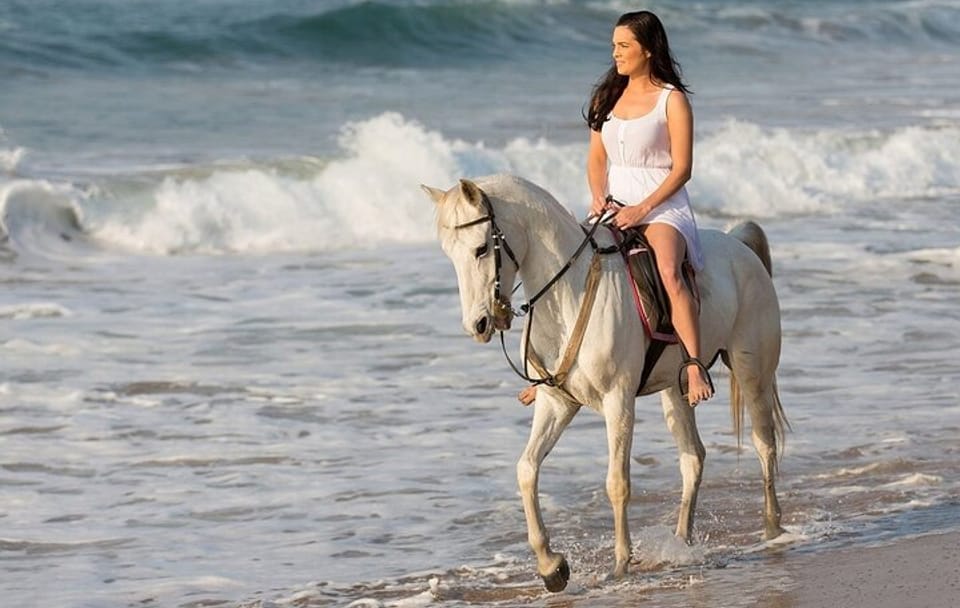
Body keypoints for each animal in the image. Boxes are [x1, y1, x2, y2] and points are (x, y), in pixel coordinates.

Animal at [421, 174, 788, 592]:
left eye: (481, 248)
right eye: (450, 254)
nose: (478, 325)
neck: (568, 293)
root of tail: (739, 246)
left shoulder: (618, 400)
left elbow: (617, 483)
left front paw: (620, 565)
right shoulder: (557, 404)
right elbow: (526, 470)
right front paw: (551, 566)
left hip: (752, 373)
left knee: (764, 445)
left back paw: (772, 530)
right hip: (675, 391)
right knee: (693, 458)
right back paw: (681, 542)